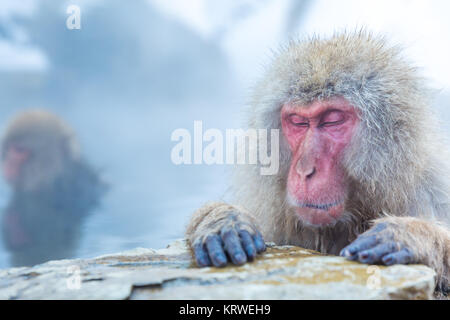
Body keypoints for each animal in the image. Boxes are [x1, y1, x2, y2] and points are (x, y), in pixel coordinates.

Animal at [186, 30, 450, 292]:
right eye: (298, 121)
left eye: (332, 121)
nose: (304, 170)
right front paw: (222, 221)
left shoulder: (431, 194)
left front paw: (409, 236)